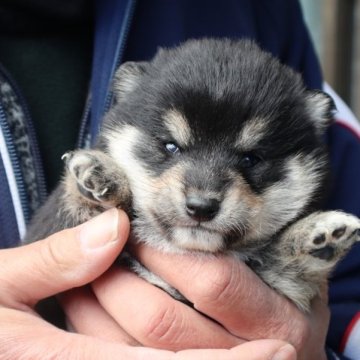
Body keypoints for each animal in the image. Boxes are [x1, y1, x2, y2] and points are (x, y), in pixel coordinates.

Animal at [26, 38, 360, 312]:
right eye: (171, 146)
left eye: (251, 159)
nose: (201, 207)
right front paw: (101, 174)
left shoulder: (280, 287)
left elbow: (281, 268)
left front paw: (318, 234)